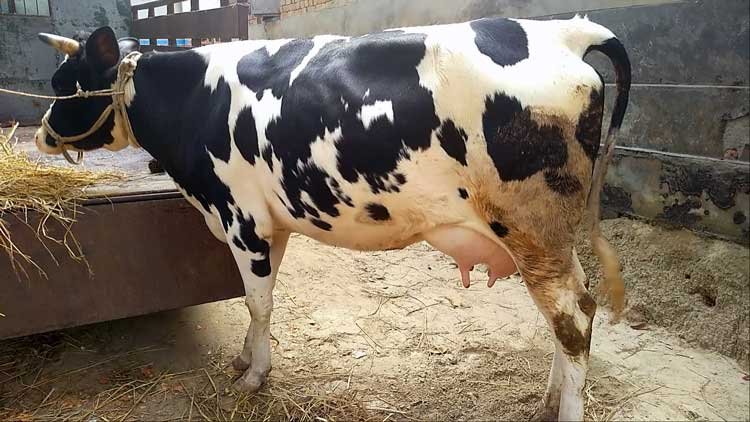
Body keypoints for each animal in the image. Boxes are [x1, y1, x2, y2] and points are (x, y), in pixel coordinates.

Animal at [34, 15, 630, 420]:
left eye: (62, 86)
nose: (41, 134)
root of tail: (564, 31)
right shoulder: (268, 224)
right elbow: (258, 303)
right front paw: (244, 360)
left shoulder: (241, 218)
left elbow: (258, 301)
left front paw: (254, 377)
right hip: (549, 237)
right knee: (568, 314)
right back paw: (551, 398)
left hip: (533, 227)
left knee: (574, 316)